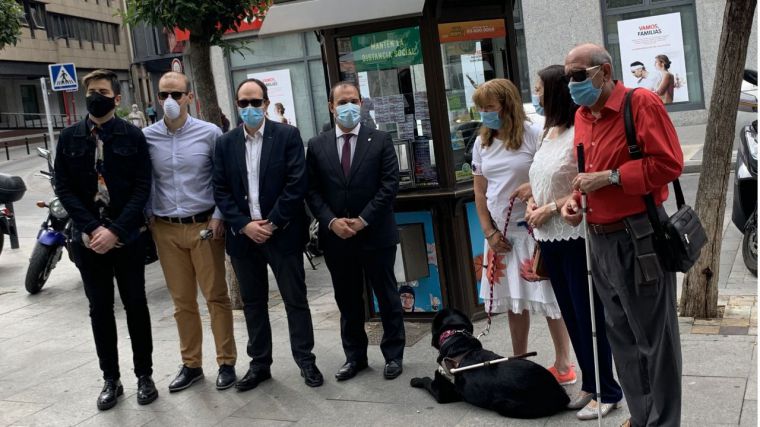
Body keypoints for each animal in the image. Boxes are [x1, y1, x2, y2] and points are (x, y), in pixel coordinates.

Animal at [410, 310, 568, 420]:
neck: (457, 341)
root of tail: (561, 395)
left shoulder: (441, 393)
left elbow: (426, 380)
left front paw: (415, 380)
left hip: (503, 405)